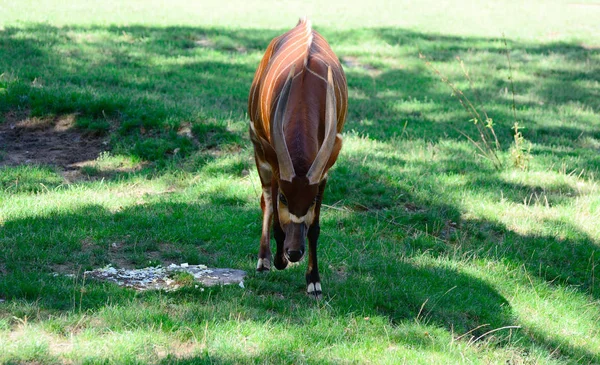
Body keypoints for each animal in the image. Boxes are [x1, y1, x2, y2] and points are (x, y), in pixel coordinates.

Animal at [246, 18, 346, 298]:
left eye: (310, 200)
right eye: (285, 197)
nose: (293, 253)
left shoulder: (323, 175)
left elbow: (314, 227)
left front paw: (314, 281)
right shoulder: (275, 168)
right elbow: (276, 217)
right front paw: (276, 261)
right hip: (260, 155)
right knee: (265, 201)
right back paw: (264, 260)